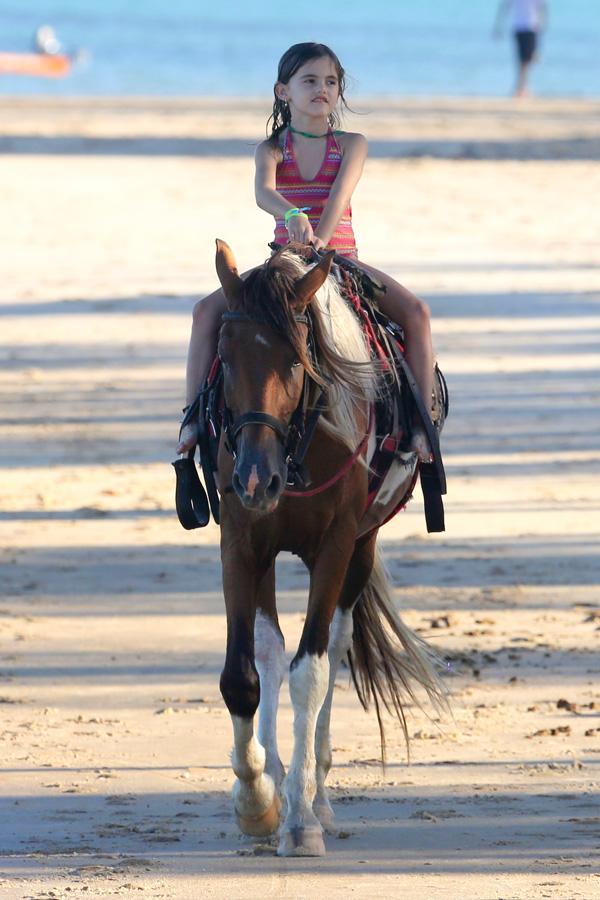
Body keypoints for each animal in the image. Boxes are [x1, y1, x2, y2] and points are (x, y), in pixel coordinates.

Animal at [213, 239, 442, 856]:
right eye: (226, 360)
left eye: (296, 362)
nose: (254, 477)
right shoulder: (242, 540)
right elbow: (243, 675)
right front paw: (257, 801)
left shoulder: (338, 542)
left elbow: (311, 673)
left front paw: (299, 819)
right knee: (270, 652)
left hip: (360, 547)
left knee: (334, 646)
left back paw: (315, 796)